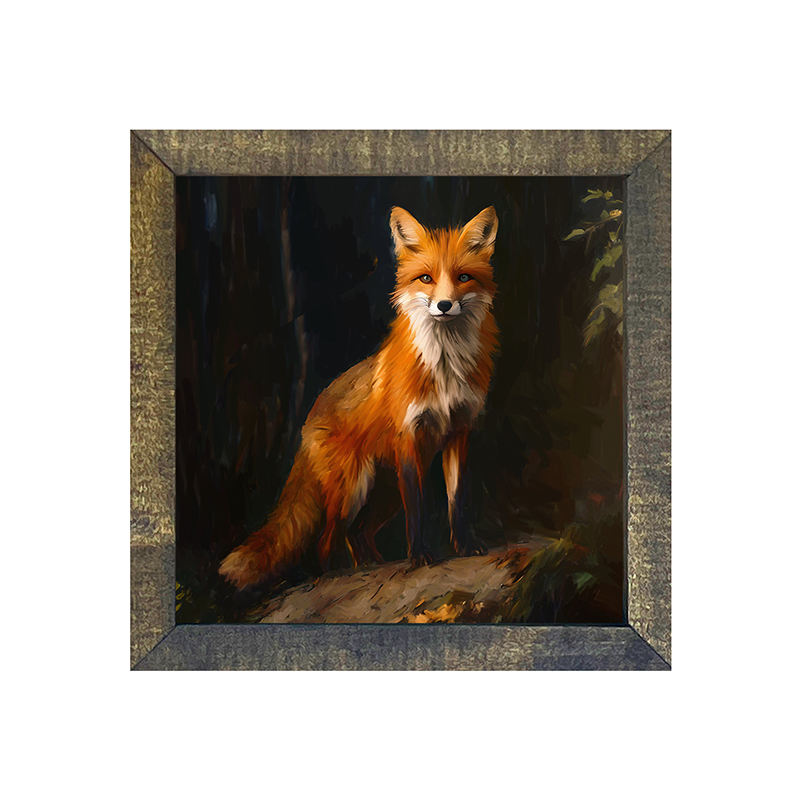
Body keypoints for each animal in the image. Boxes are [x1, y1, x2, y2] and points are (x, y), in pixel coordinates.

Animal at [218, 205, 500, 591]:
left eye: (464, 277)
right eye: (426, 278)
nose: (444, 305)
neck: (445, 366)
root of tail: (309, 417)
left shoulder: (459, 431)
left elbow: (457, 500)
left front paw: (465, 547)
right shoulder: (409, 437)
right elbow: (419, 511)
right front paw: (420, 557)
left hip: (384, 493)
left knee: (358, 535)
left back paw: (370, 567)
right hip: (354, 488)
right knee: (327, 540)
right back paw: (337, 573)